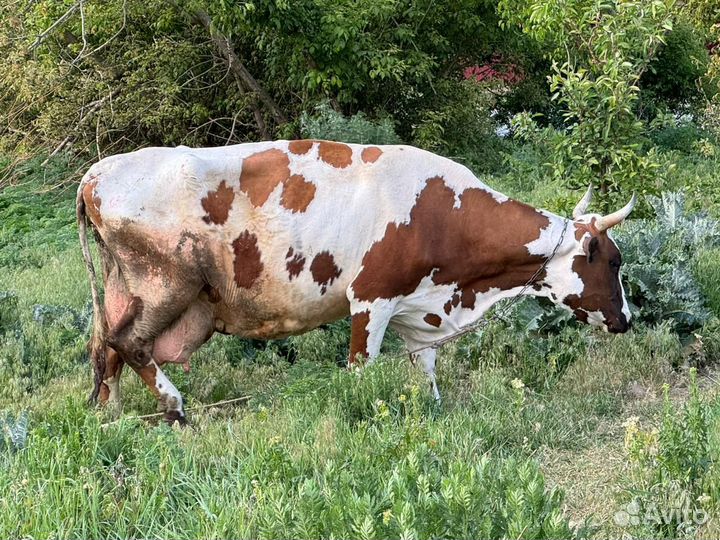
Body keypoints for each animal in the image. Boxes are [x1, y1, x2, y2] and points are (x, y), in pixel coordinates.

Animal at [76, 140, 635, 424]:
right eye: (613, 261)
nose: (627, 320)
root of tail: (99, 170)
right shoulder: (371, 299)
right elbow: (360, 371)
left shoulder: (418, 307)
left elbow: (425, 366)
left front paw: (433, 410)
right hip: (168, 283)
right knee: (128, 343)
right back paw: (174, 407)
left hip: (125, 288)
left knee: (104, 348)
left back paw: (109, 415)